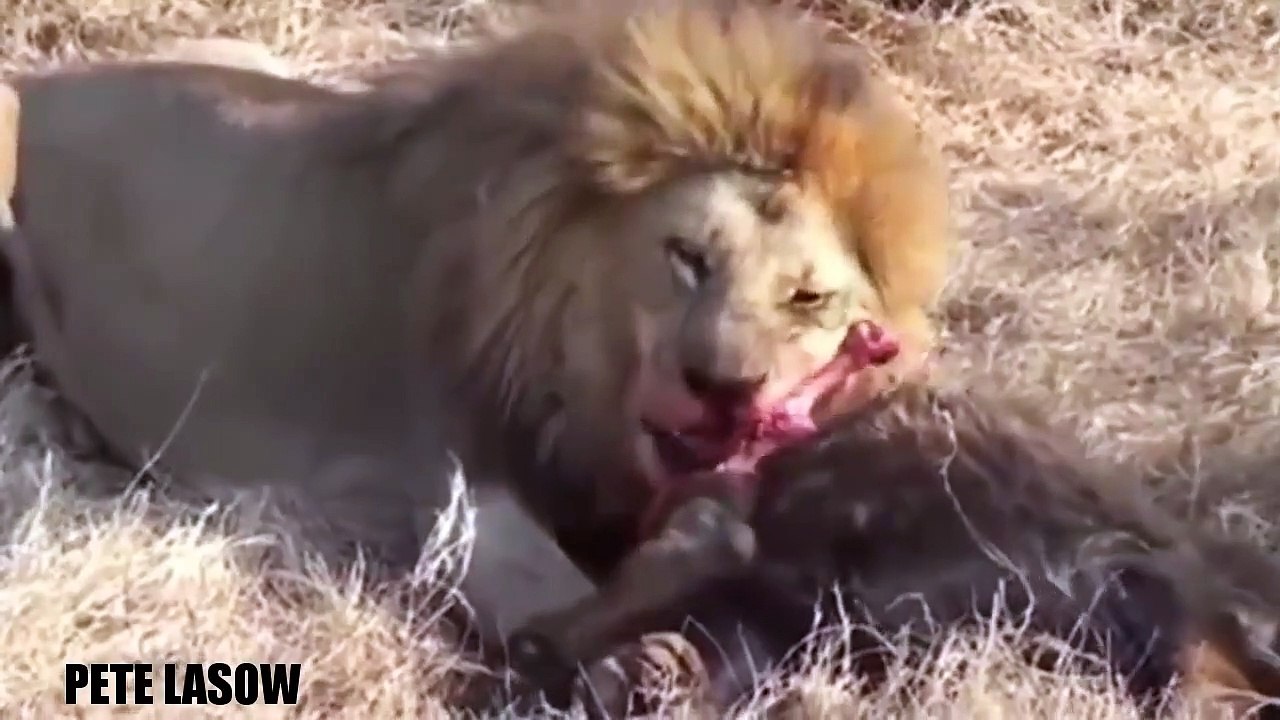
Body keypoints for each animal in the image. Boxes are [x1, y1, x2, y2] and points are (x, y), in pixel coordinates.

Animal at [0, 0, 951, 648]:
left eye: (808, 299)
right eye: (688, 256)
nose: (725, 389)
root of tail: (42, 83)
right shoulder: (416, 484)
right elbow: (563, 585)